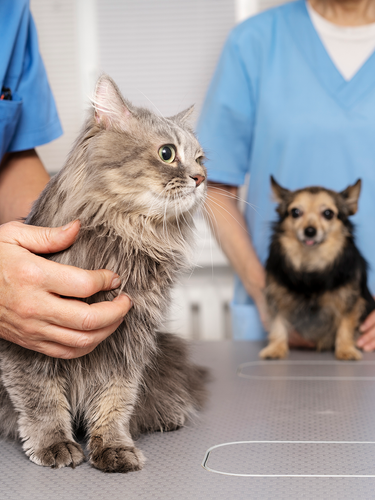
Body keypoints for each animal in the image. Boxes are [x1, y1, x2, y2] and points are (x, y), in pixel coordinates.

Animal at [262, 178, 375, 362]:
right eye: (295, 212)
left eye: (328, 213)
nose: (309, 231)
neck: (311, 263)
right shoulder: (276, 297)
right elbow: (277, 323)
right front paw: (276, 348)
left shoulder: (349, 300)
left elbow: (345, 325)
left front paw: (345, 350)